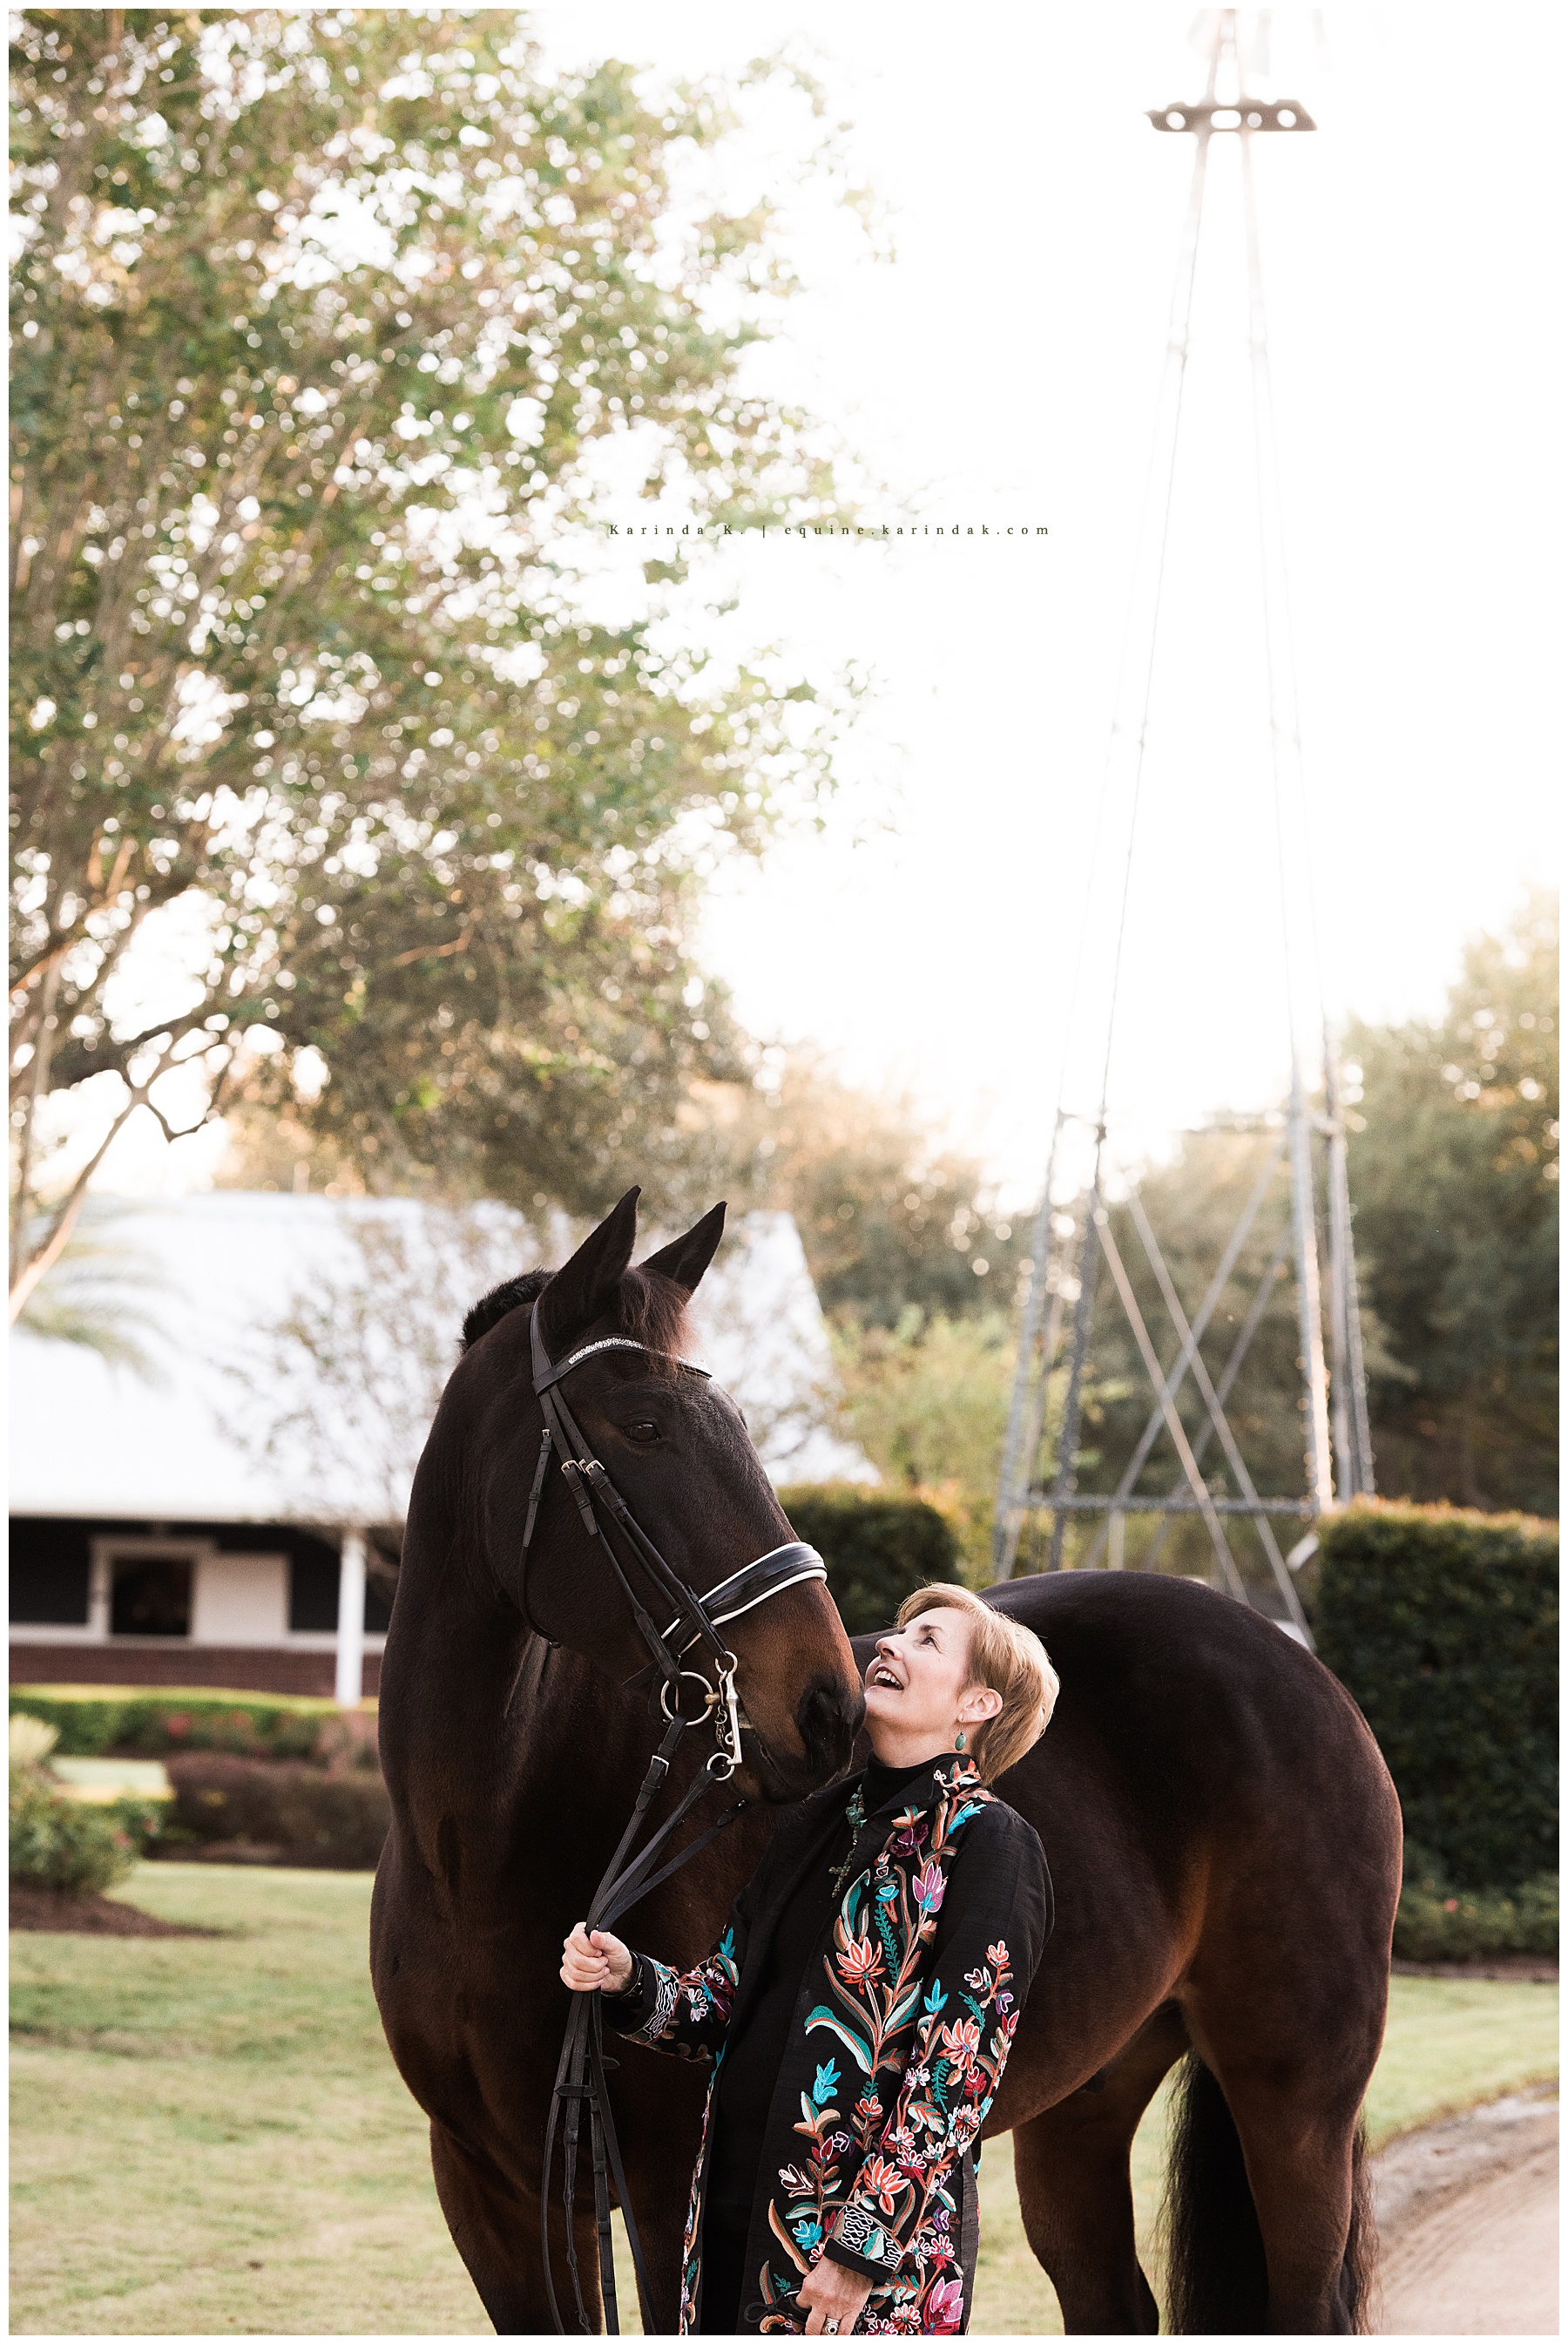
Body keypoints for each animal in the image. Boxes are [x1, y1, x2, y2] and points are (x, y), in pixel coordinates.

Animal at [371, 1191, 1402, 2336]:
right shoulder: (493, 2193)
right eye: (642, 1425)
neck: (481, 1845)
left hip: (1295, 2104)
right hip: (1088, 2101)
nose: (827, 1703)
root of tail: (1305, 1669)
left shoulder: (664, 2184)